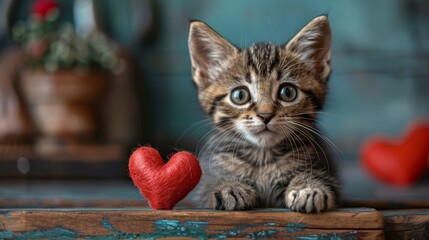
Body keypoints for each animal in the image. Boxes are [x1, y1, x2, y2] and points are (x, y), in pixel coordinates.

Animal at [187, 15, 338, 213]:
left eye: (287, 92)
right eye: (240, 95)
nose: (265, 115)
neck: (262, 157)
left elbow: (320, 178)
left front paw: (308, 188)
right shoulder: (205, 182)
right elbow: (210, 185)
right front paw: (229, 187)